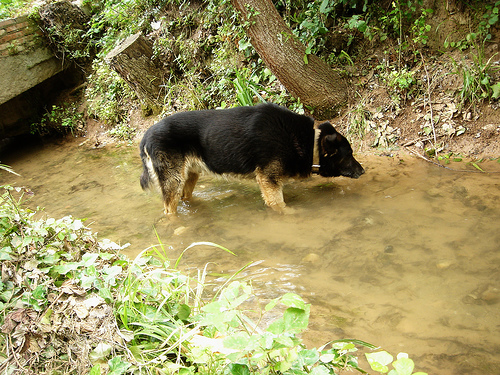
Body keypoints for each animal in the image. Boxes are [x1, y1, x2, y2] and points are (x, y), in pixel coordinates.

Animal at [139, 103, 366, 216]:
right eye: (349, 154)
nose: (363, 171)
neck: (311, 142)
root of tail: (146, 135)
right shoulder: (268, 179)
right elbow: (279, 205)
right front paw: (291, 213)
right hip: (173, 181)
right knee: (169, 210)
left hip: (189, 176)